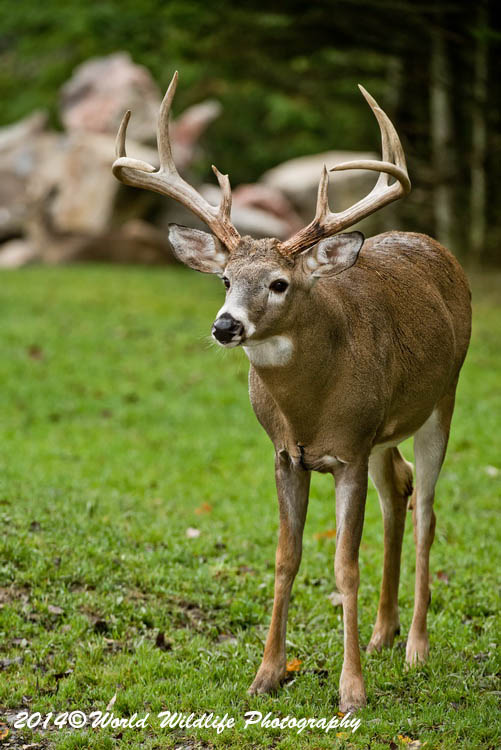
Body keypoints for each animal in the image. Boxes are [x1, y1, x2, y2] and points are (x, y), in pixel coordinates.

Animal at [112, 72, 471, 712]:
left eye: (279, 283)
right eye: (225, 279)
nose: (225, 326)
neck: (310, 408)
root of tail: (438, 249)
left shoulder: (348, 451)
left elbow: (344, 565)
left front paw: (352, 691)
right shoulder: (287, 454)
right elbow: (286, 557)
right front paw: (267, 674)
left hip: (442, 398)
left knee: (427, 509)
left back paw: (415, 647)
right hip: (385, 430)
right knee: (398, 487)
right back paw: (382, 634)